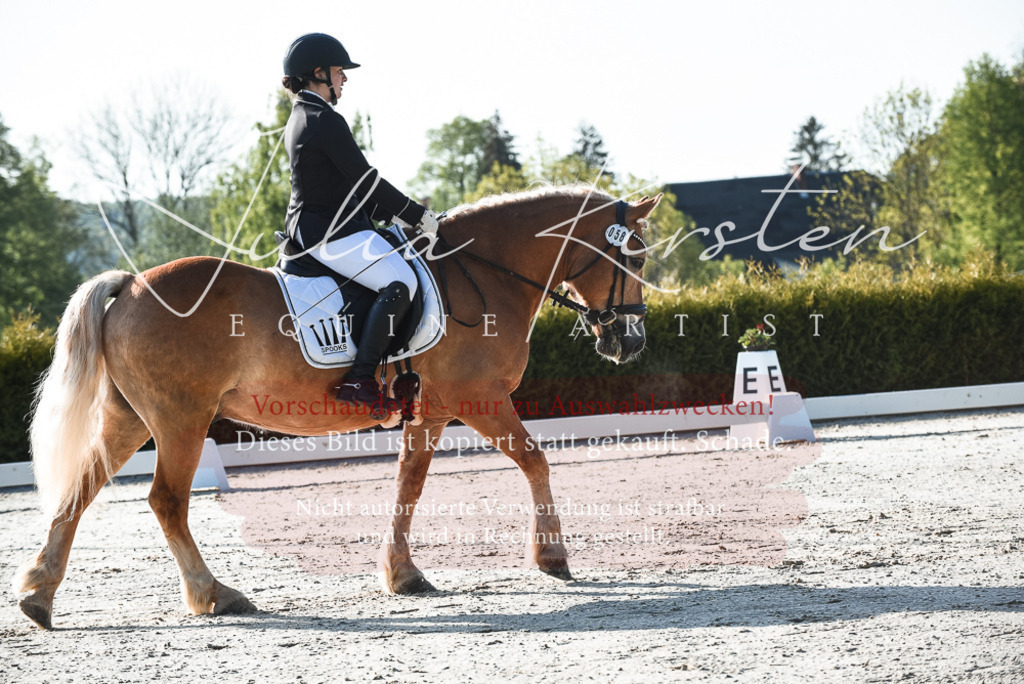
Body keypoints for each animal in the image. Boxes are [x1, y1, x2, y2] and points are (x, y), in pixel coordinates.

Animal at [14, 186, 662, 629]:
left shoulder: (429, 413)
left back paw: (37, 598)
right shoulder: (478, 399)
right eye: (636, 259)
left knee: (79, 491)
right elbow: (535, 461)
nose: (630, 343)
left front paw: (403, 574)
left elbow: (408, 486)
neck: (484, 276)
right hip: (180, 421)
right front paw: (551, 558)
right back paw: (215, 595)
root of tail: (129, 285)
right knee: (166, 501)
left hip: (129, 420)